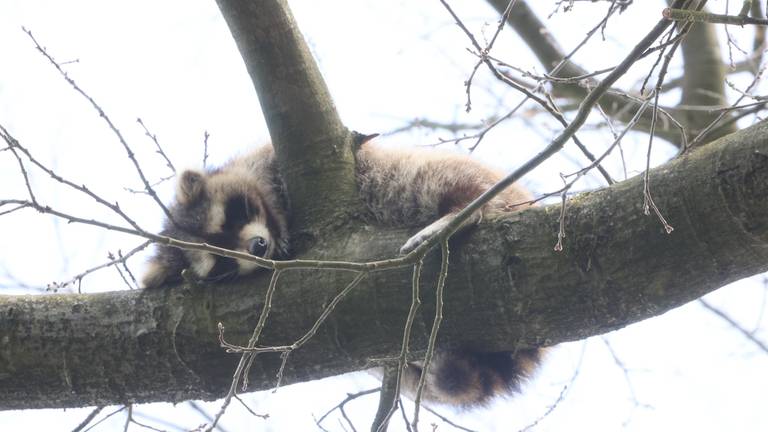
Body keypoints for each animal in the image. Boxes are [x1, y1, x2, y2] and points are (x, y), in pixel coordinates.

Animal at [142, 140, 540, 406]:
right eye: (221, 263)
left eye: (230, 218)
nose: (258, 247)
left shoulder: (269, 159)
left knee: (424, 178)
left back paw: (463, 209)